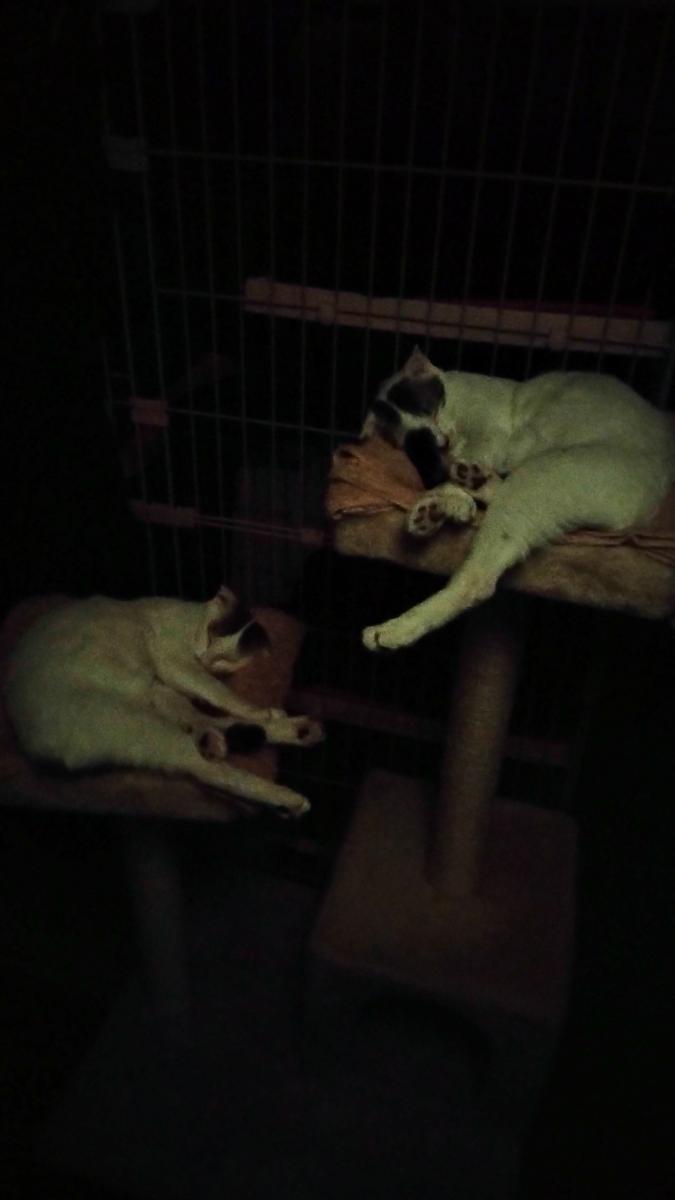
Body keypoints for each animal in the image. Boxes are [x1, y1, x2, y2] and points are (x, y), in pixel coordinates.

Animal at [4, 587, 323, 817]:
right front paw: (260, 710)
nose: (205, 658)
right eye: (210, 635)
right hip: (139, 719)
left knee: (208, 724)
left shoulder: (181, 676)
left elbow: (217, 697)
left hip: (158, 692)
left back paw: (296, 731)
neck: (189, 623)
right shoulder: (179, 665)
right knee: (204, 764)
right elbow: (221, 692)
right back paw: (288, 797)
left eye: (225, 659)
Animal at [360, 347, 675, 651]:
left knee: (477, 581)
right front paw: (448, 503)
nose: (436, 442)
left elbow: (467, 459)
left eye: (429, 409)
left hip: (537, 476)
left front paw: (450, 499)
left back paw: (391, 630)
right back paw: (460, 493)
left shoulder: (489, 434)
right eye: (405, 437)